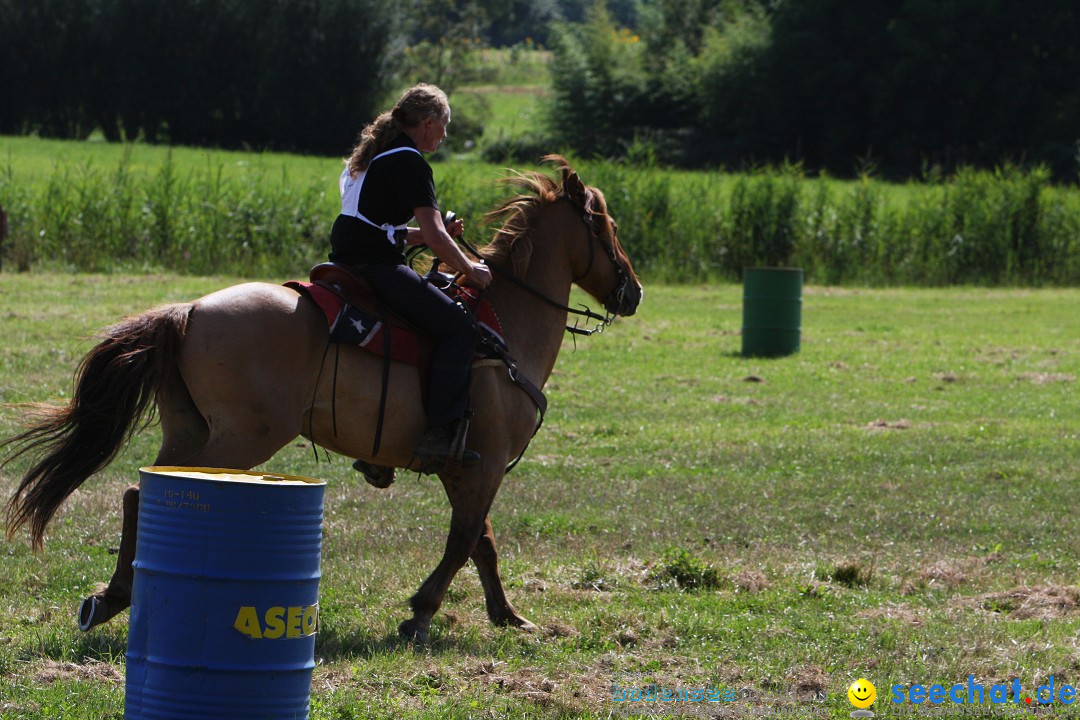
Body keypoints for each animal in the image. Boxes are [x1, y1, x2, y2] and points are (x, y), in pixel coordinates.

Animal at [0, 155, 639, 643]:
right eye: (605, 226)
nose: (632, 291)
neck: (503, 324)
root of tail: (189, 312)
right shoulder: (483, 466)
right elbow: (464, 542)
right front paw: (421, 613)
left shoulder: (465, 468)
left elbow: (483, 544)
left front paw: (507, 615)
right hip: (240, 440)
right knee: (153, 489)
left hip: (191, 431)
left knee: (142, 490)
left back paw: (113, 597)